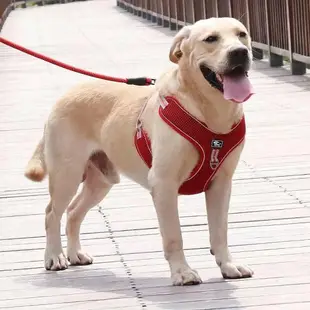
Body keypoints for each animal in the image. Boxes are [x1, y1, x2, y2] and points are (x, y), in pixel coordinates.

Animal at [25, 18, 254, 286]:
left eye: (242, 35)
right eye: (211, 39)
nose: (240, 52)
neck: (212, 112)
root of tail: (63, 97)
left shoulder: (221, 183)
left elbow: (220, 231)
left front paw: (228, 265)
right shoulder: (164, 183)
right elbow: (174, 235)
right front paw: (182, 272)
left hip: (100, 181)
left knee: (72, 213)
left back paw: (75, 254)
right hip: (66, 175)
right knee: (51, 213)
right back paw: (54, 256)